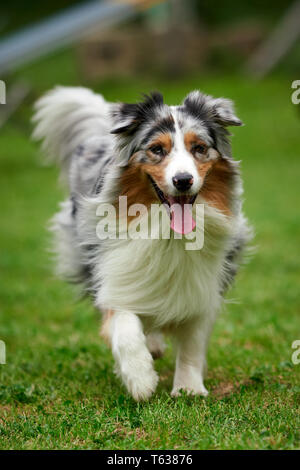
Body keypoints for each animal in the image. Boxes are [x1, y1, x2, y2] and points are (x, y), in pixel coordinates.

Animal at [32, 87, 252, 400]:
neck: (168, 233)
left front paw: (188, 387)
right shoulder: (115, 271)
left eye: (199, 148)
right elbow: (124, 324)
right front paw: (140, 379)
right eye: (157, 150)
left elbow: (193, 340)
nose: (183, 180)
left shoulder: (204, 283)